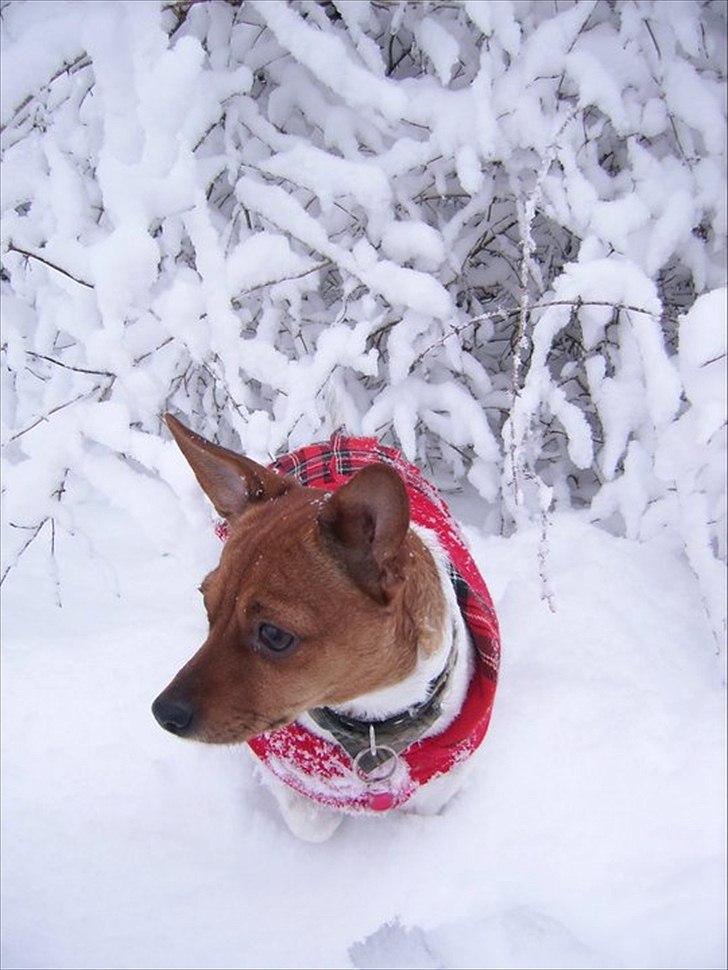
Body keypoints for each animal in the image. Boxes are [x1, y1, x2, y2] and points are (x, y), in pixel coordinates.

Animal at [151, 414, 498, 840]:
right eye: (206, 603)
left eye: (274, 635)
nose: (163, 712)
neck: (371, 725)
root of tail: (336, 440)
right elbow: (312, 821)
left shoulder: (442, 781)